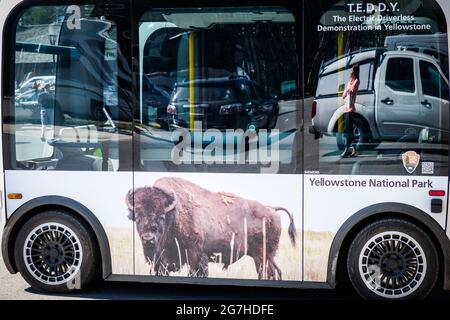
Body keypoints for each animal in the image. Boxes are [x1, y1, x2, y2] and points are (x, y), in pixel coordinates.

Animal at [125, 178, 296, 280]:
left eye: (161, 216)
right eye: (137, 216)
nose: (148, 239)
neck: (173, 214)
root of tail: (272, 209)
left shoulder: (196, 256)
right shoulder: (161, 263)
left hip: (262, 256)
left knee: (268, 273)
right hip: (266, 256)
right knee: (276, 272)